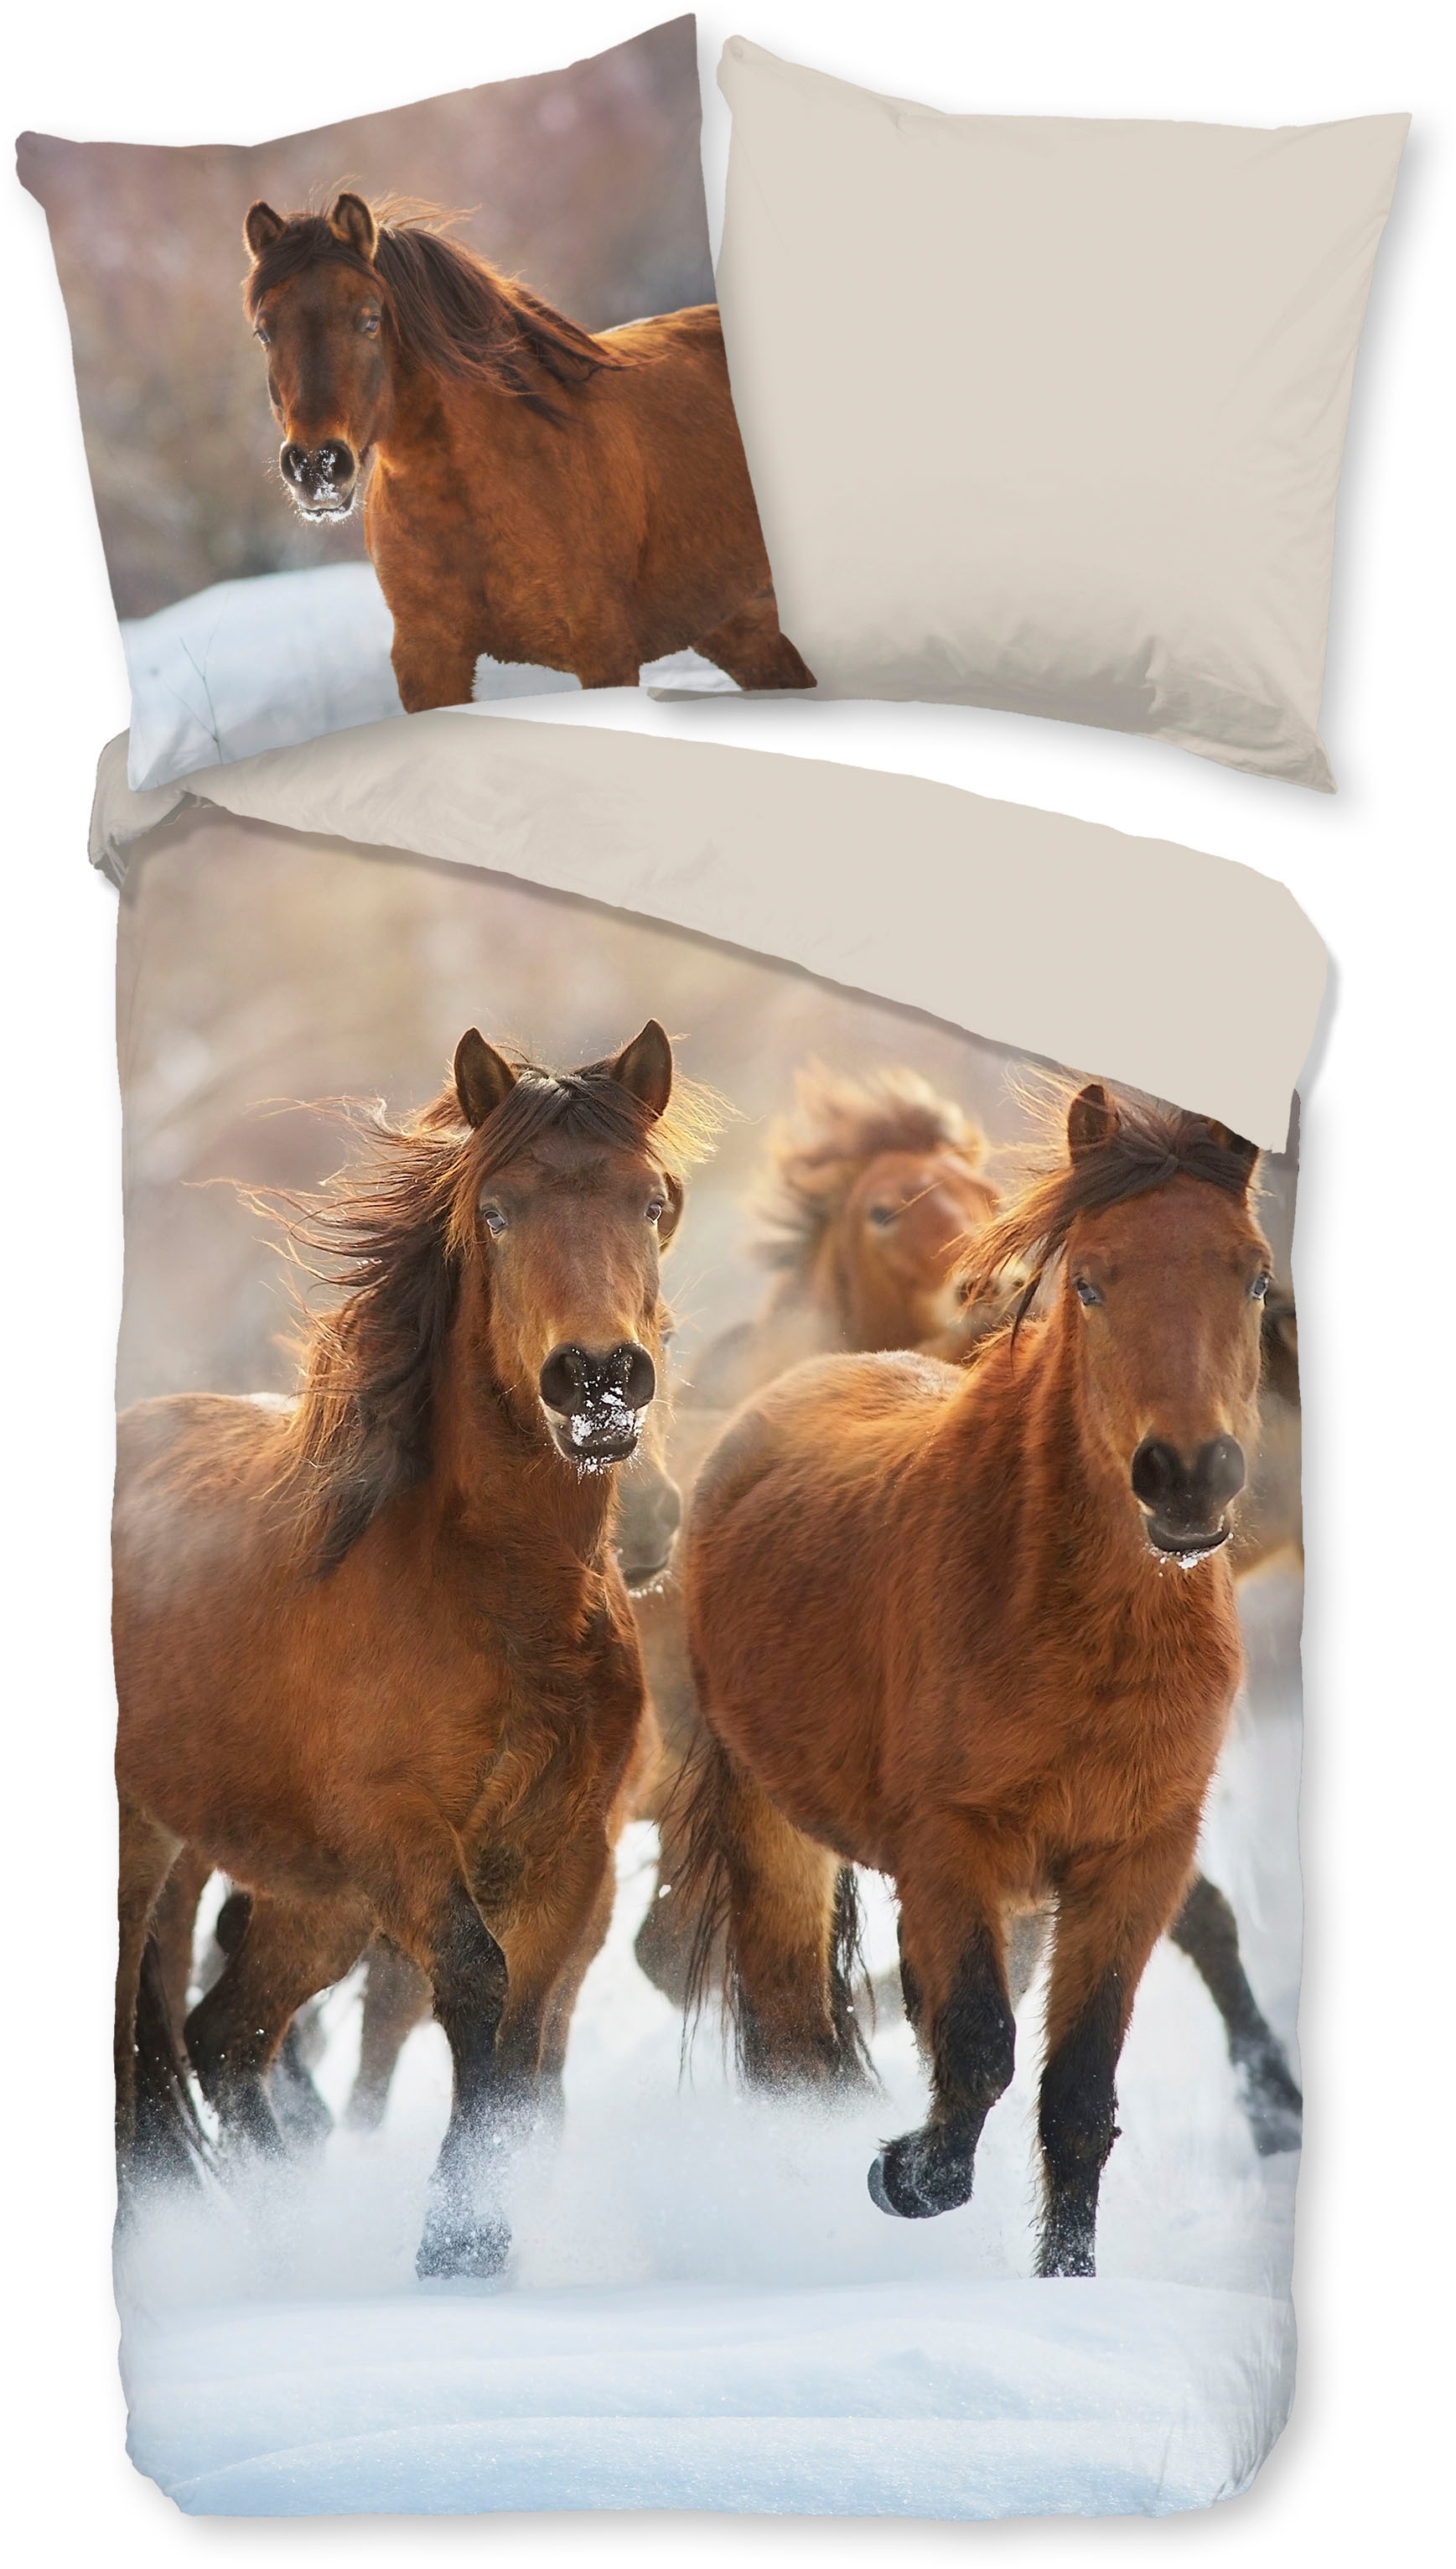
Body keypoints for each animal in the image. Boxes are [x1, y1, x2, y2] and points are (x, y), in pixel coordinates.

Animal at [115, 1020, 711, 2278]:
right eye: (497, 1209)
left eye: (651, 1201)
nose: (596, 1379)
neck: (502, 1603)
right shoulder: (404, 1841)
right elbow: (479, 1996)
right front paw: (458, 2249)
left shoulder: (566, 1851)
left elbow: (532, 2035)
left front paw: (490, 2247)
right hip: (155, 1848)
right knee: (135, 2039)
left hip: (313, 1895)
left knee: (223, 2036)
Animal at [241, 194, 813, 707]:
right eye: (264, 332)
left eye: (370, 320)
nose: (316, 466)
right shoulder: (429, 661)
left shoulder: (605, 649)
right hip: (741, 628)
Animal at [681, 1081, 1275, 2279]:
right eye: (1089, 1279)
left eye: (1253, 1274)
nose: (1188, 1477)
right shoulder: (951, 1848)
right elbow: (980, 2048)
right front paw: (904, 2175)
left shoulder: (1134, 1862)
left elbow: (1077, 2095)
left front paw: (1065, 2281)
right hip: (775, 1830)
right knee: (794, 2037)